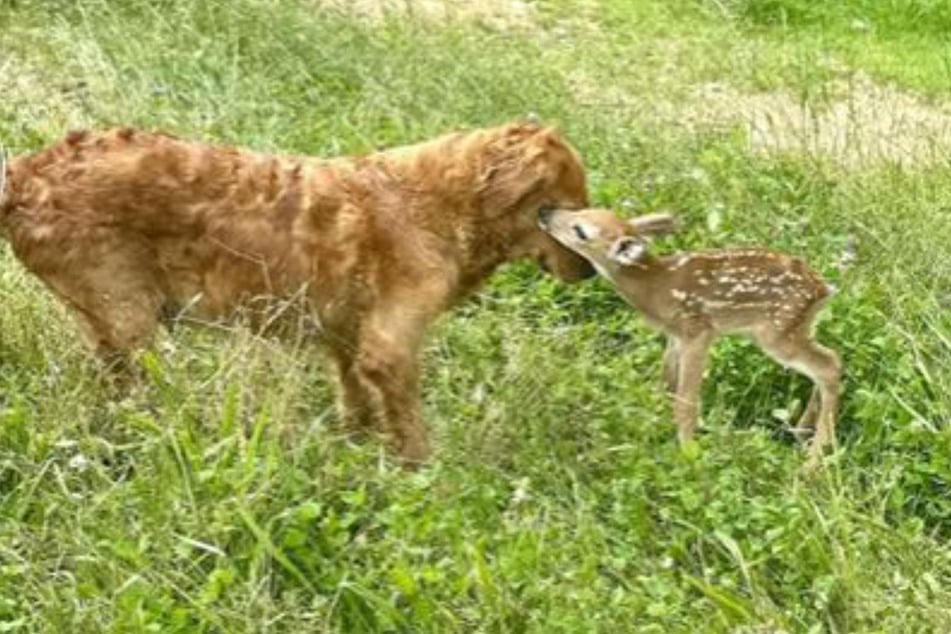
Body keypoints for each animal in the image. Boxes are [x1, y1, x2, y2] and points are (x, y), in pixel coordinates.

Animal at [0, 121, 596, 462]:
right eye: (564, 208)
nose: (592, 273)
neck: (438, 205)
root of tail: (26, 172)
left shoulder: (348, 338)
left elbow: (355, 399)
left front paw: (355, 446)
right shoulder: (392, 349)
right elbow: (410, 426)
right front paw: (425, 475)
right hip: (130, 320)